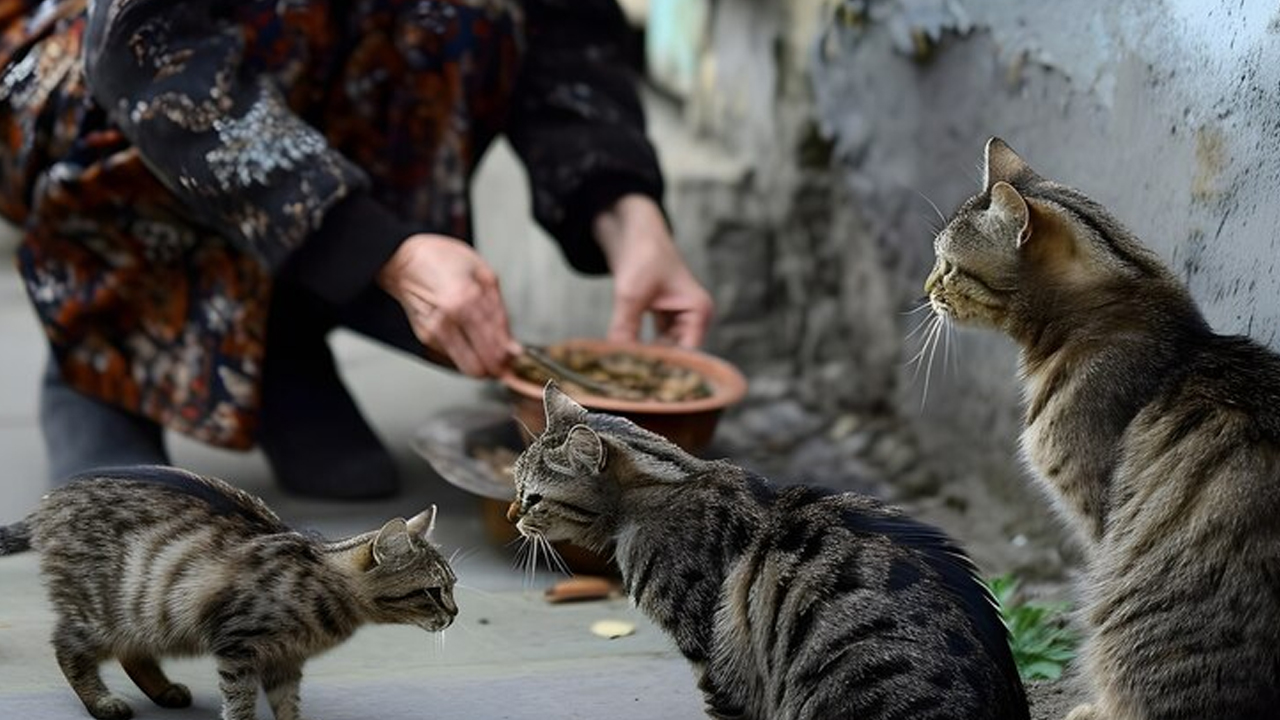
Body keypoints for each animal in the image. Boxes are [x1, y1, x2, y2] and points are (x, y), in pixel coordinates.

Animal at [0, 466, 458, 717]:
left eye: (452, 586)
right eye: (433, 591)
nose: (454, 613)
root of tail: (48, 502)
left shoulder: (285, 661)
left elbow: (288, 707)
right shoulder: (239, 648)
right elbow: (239, 705)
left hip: (142, 615)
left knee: (131, 652)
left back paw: (163, 690)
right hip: (102, 612)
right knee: (66, 647)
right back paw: (101, 703)